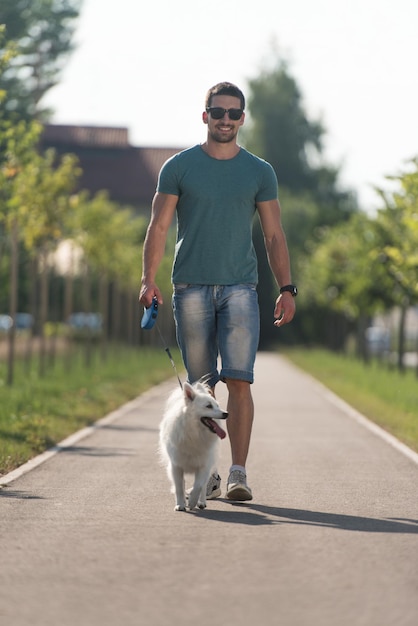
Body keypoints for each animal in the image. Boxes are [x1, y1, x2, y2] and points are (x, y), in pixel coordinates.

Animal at [158, 380, 227, 508]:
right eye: (208, 406)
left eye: (217, 406)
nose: (226, 413)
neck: (194, 433)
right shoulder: (176, 466)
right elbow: (179, 487)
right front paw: (180, 505)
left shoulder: (203, 465)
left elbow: (199, 486)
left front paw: (192, 502)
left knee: (203, 486)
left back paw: (201, 502)